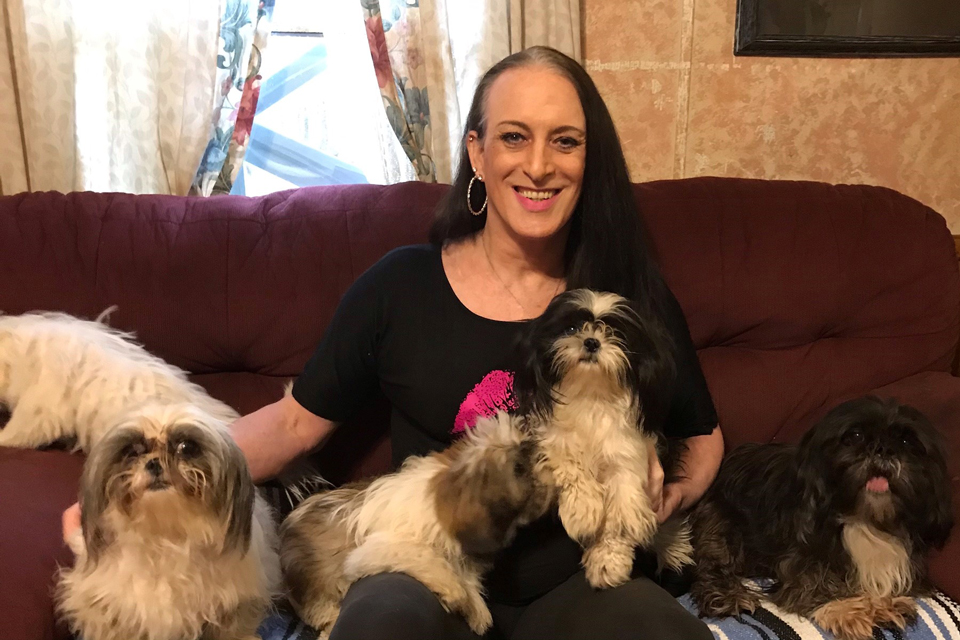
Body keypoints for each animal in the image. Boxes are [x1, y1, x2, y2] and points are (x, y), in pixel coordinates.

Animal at [57, 402, 282, 640]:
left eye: (187, 447)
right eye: (133, 451)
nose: (154, 462)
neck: (167, 535)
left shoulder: (236, 604)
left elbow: (235, 627)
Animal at [278, 412, 552, 636]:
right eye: (519, 468)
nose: (545, 460)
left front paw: (476, 608)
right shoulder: (379, 550)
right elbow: (431, 559)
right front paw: (457, 594)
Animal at [512, 290, 692, 592]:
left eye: (615, 333)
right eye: (571, 328)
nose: (591, 341)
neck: (591, 394)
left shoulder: (625, 461)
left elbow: (619, 518)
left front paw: (607, 562)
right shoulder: (553, 441)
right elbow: (571, 467)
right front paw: (583, 512)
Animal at [688, 398, 952, 636]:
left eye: (906, 441)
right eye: (855, 436)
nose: (883, 449)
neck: (864, 517)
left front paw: (882, 604)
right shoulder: (800, 556)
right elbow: (812, 582)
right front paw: (847, 610)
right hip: (721, 524)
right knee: (713, 565)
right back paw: (729, 596)